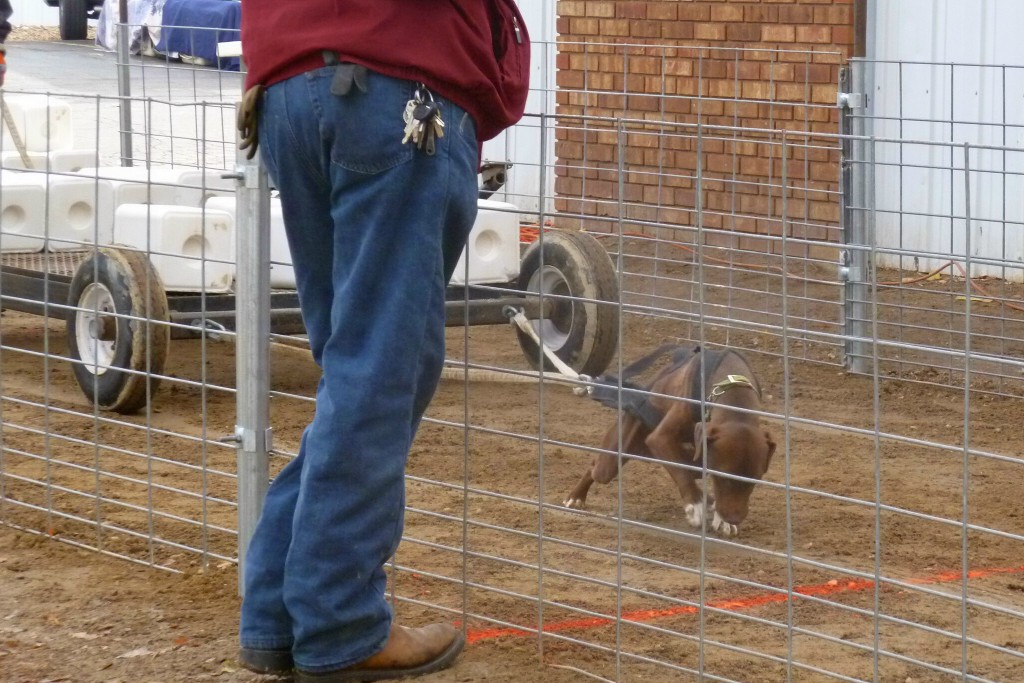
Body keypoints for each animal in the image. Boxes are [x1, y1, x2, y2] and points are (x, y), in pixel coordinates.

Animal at [561, 348, 774, 532]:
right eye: (722, 477)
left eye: (755, 480)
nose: (734, 518)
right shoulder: (660, 438)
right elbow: (682, 474)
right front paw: (696, 505)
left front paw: (720, 517)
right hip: (615, 455)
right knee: (596, 467)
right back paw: (576, 497)